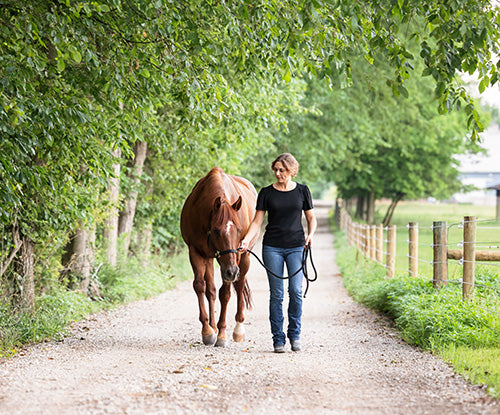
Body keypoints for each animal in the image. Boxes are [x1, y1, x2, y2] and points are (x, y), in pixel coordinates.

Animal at [180, 167, 258, 346]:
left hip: (243, 257)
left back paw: (238, 329)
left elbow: (226, 294)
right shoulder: (196, 252)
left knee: (239, 286)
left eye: (238, 229)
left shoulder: (232, 261)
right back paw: (213, 327)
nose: (232, 272)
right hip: (212, 259)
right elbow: (200, 286)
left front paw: (222, 334)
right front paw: (208, 331)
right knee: (211, 290)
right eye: (216, 230)